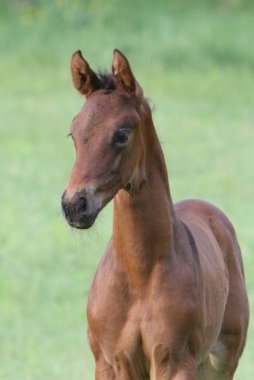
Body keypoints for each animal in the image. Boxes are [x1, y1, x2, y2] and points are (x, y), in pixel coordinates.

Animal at [61, 50, 248, 380]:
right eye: (74, 132)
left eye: (122, 134)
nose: (74, 204)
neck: (139, 274)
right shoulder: (112, 362)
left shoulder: (174, 361)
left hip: (222, 360)